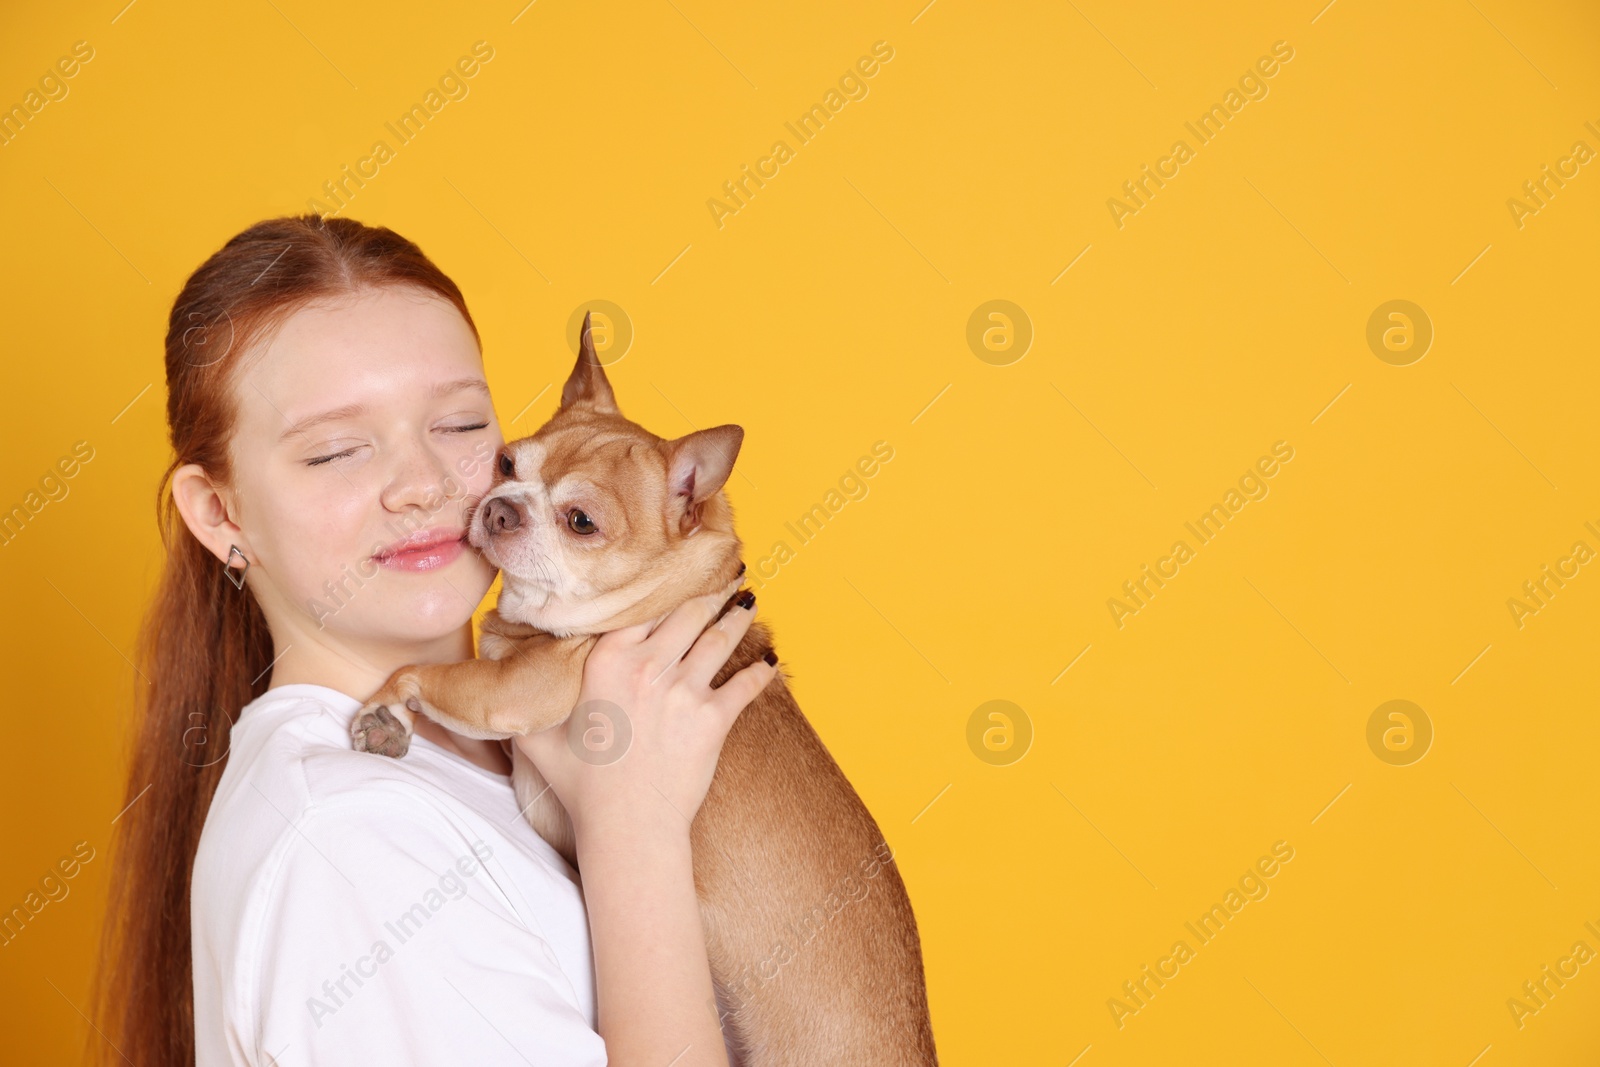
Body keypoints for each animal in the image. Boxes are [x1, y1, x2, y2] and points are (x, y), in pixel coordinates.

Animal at [350, 316, 934, 1067]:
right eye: (506, 465)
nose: (503, 508)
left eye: (581, 522)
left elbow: (428, 674)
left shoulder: (519, 688)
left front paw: (384, 709)